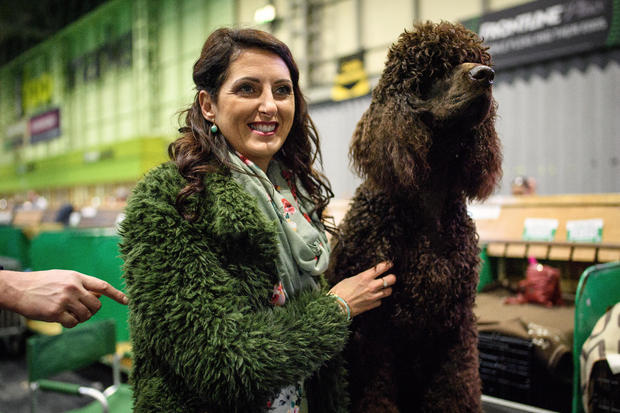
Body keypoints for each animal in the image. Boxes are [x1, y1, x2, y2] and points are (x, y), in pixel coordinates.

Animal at [326, 22, 502, 412]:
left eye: (476, 58)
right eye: (434, 67)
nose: (486, 75)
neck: (427, 211)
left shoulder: (457, 326)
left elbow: (457, 386)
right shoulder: (377, 332)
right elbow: (376, 393)